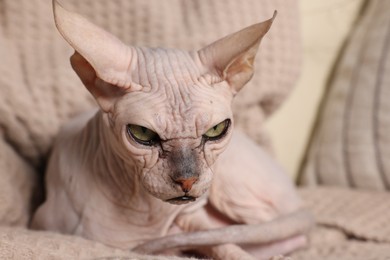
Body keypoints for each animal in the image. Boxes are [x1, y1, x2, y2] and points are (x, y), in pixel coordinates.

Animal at [31, 1, 314, 258]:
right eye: (142, 134)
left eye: (216, 130)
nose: (187, 180)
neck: (147, 212)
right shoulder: (44, 224)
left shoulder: (194, 215)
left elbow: (225, 244)